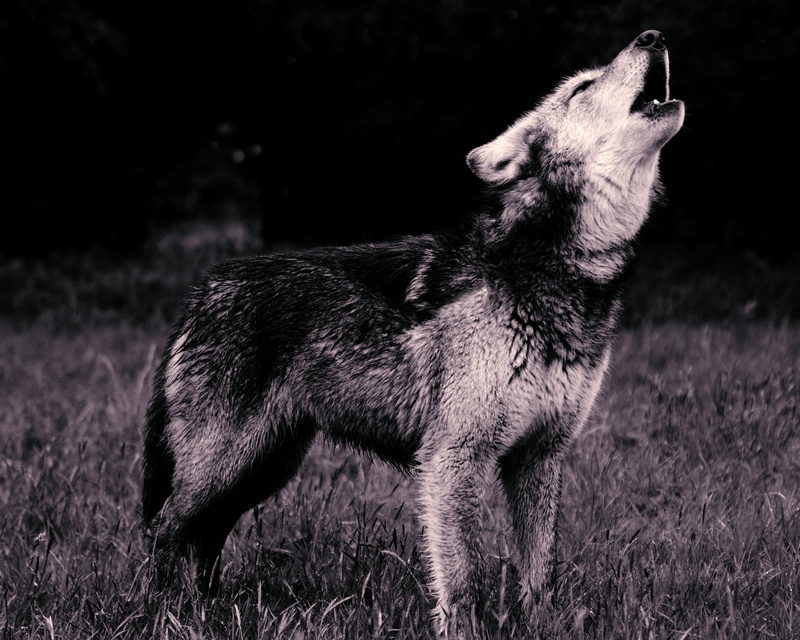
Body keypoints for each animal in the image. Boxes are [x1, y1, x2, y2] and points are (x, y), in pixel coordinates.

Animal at [143, 30, 683, 637]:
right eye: (582, 87)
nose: (653, 36)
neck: (563, 272)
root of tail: (202, 289)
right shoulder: (453, 458)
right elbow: (464, 579)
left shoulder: (540, 456)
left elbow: (539, 575)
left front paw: (545, 627)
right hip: (225, 466)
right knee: (165, 531)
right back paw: (164, 615)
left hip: (264, 469)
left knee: (203, 538)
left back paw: (204, 610)